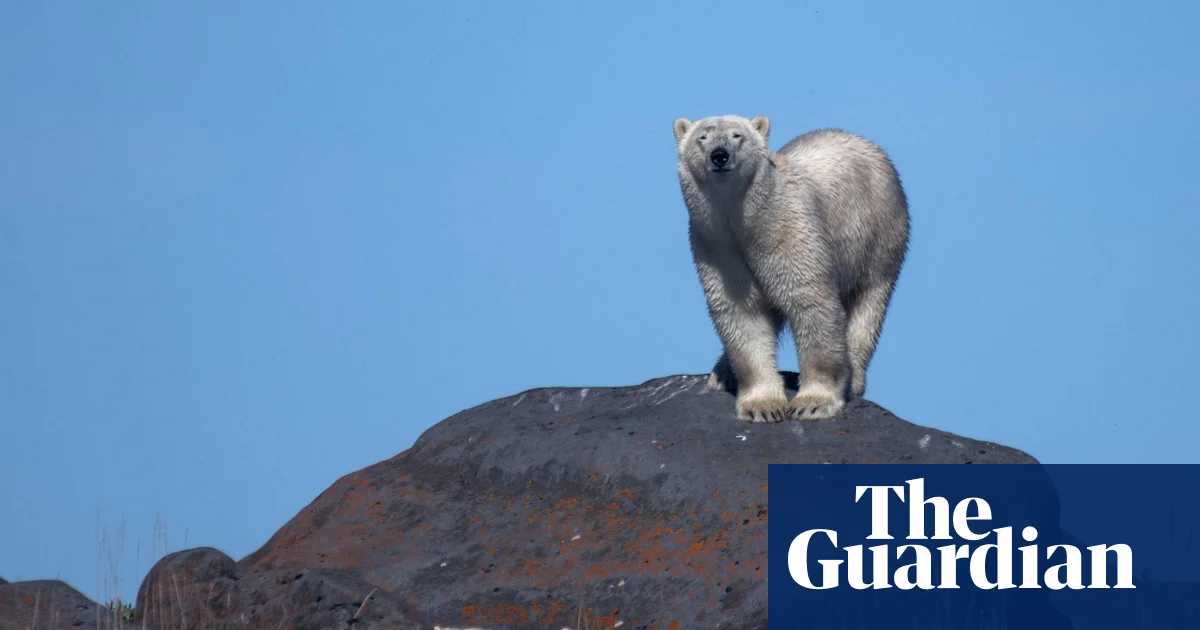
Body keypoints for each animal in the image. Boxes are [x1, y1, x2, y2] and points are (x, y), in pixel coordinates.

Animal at [673, 115, 910, 422]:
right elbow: (741, 314)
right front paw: (762, 406)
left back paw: (853, 379)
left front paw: (813, 402)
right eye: (702, 137)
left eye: (737, 135)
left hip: (880, 237)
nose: (719, 155)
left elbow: (810, 303)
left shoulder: (789, 231)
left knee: (867, 305)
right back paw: (722, 374)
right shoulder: (715, 246)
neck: (746, 221)